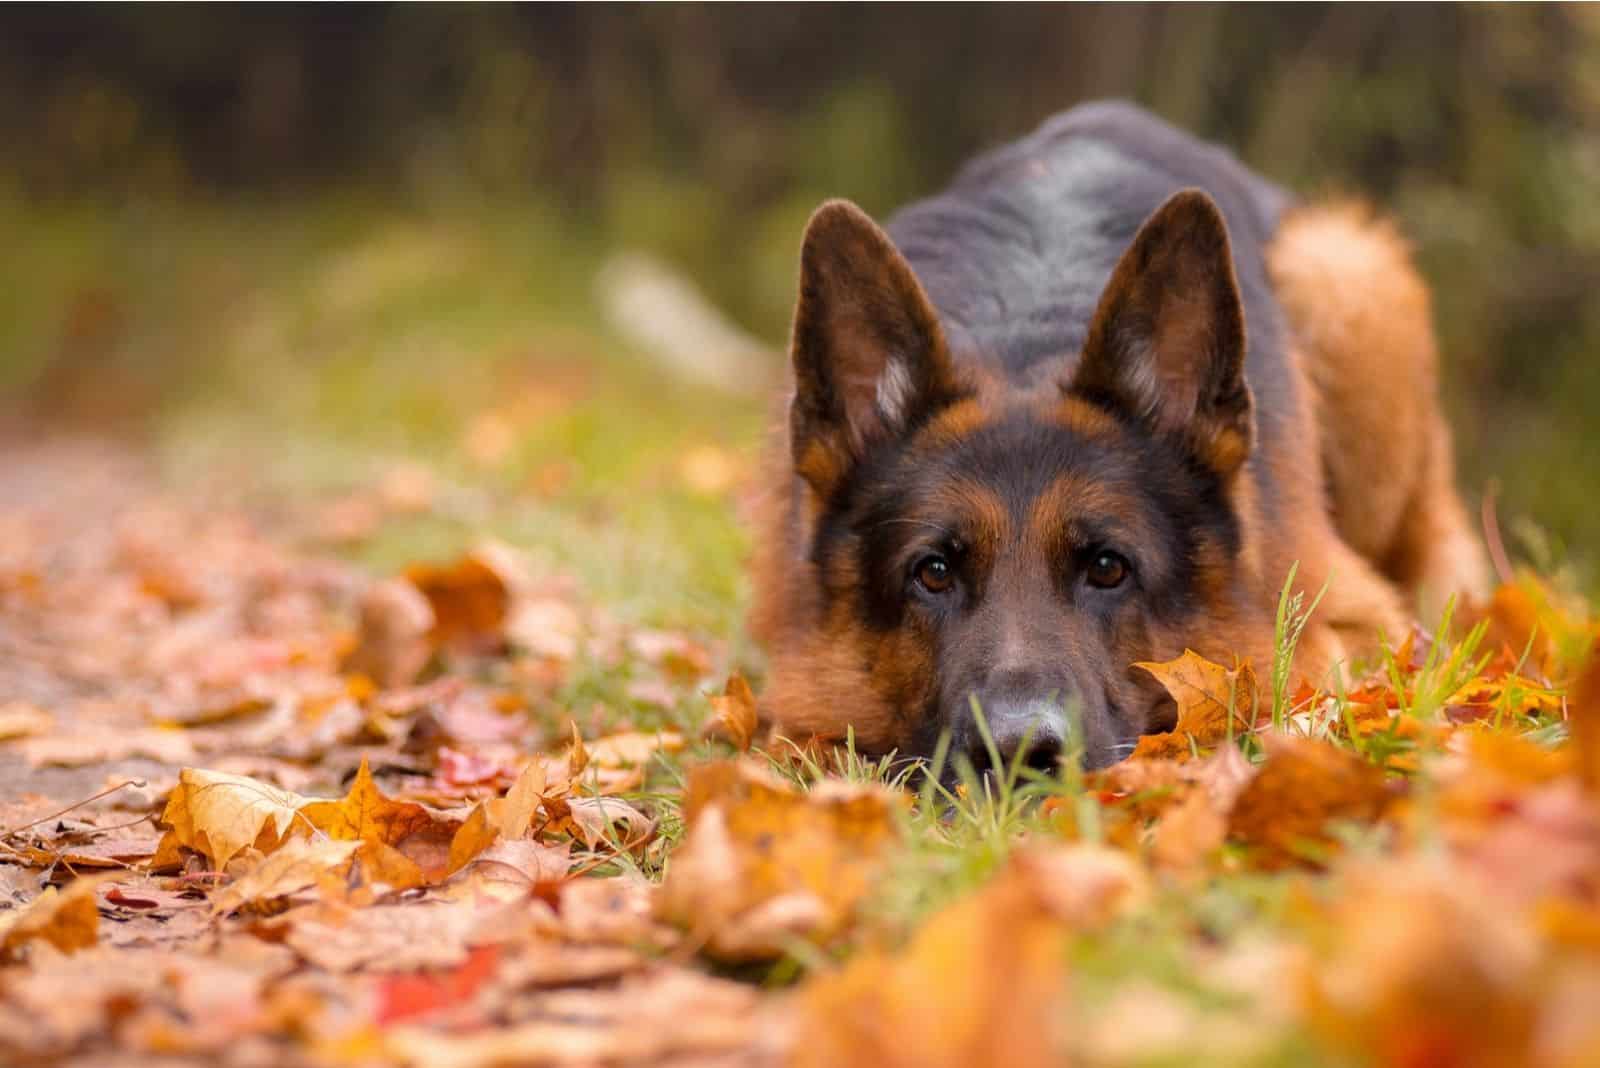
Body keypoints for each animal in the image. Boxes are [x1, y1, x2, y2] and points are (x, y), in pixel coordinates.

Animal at [748, 102, 1484, 777]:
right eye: (932, 573)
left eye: (1108, 567)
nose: (1018, 755)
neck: (1028, 335)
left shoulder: (1360, 625)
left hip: (1340, 274)